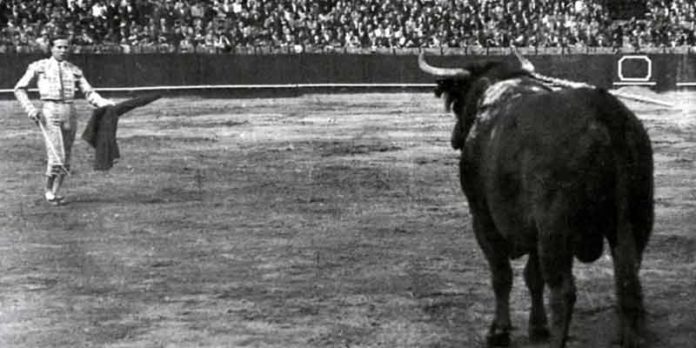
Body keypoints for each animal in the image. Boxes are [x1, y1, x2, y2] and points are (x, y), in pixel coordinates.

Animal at [418, 52, 652, 348]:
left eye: (458, 101)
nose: (455, 137)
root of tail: (604, 115)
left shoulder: (482, 218)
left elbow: (502, 275)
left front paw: (499, 331)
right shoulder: (533, 232)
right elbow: (533, 276)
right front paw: (538, 326)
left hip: (555, 229)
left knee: (564, 291)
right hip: (636, 218)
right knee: (628, 280)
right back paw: (629, 337)